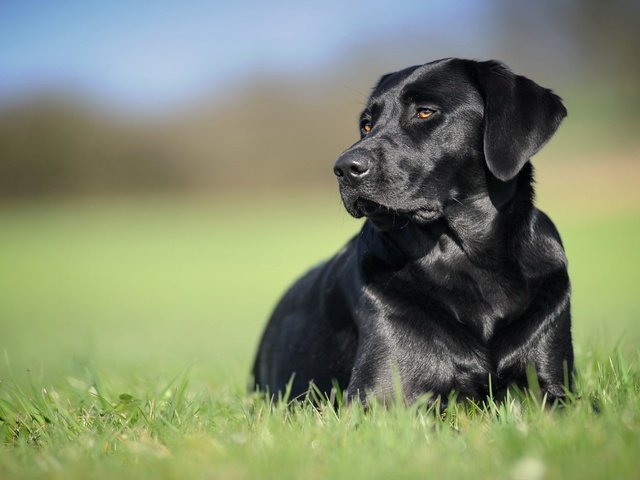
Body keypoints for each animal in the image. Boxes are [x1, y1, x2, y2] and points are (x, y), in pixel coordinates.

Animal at [252, 59, 572, 404]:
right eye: (366, 125)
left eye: (425, 112)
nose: (344, 168)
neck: (469, 259)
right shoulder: (379, 398)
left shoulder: (554, 386)